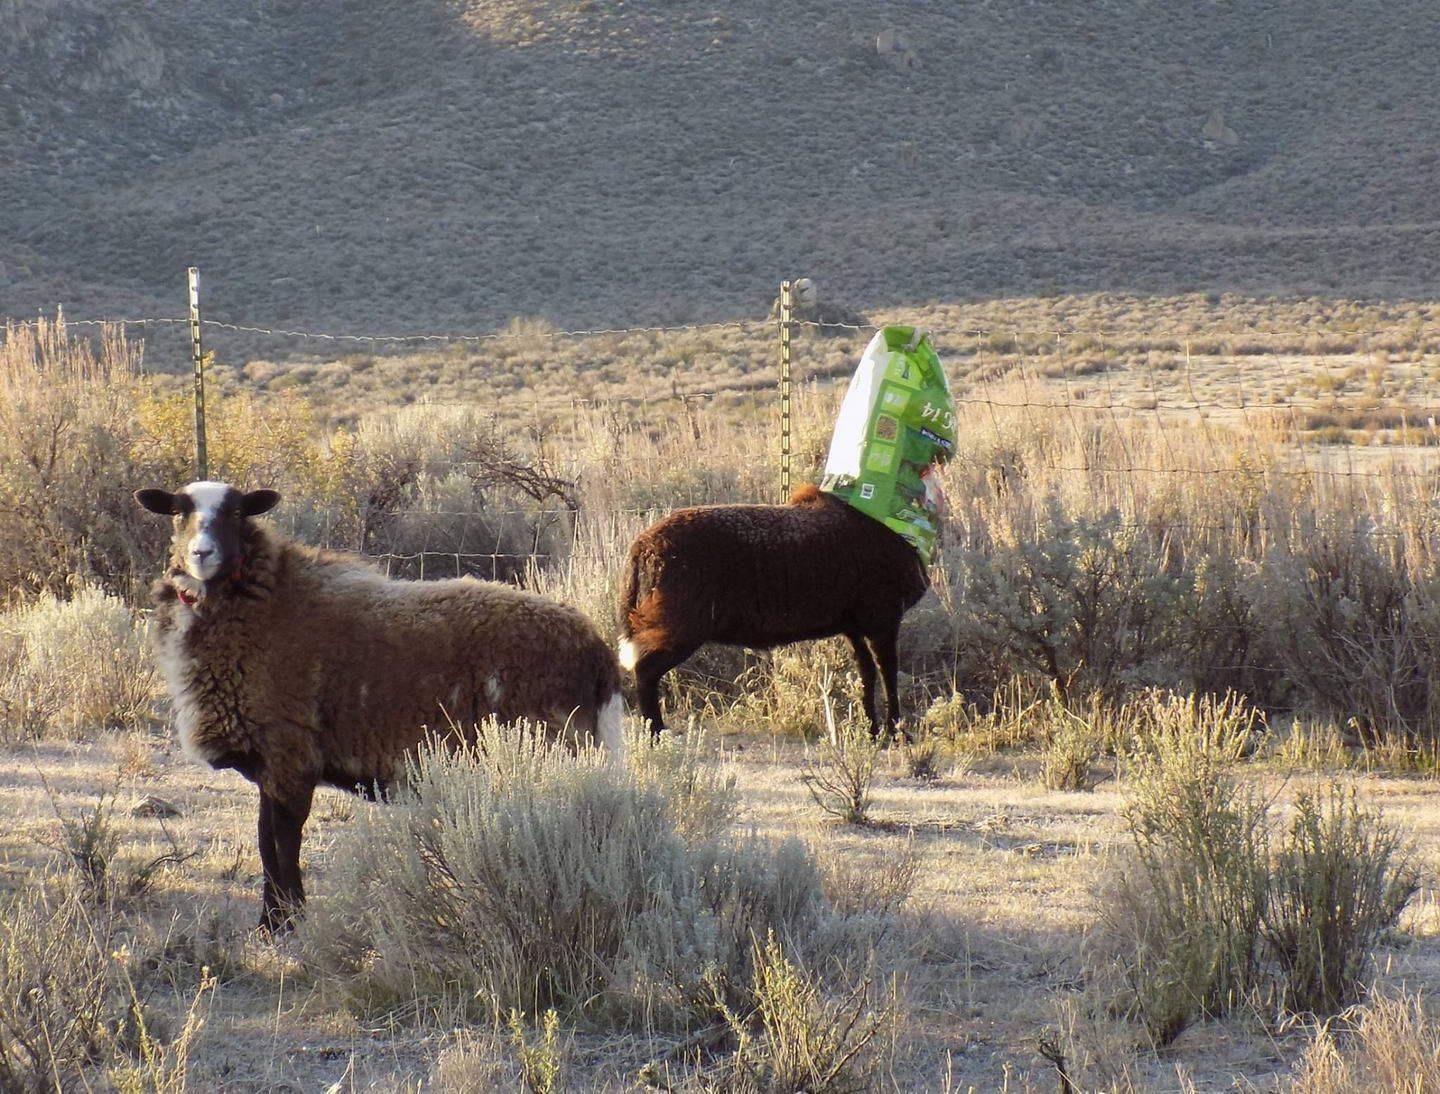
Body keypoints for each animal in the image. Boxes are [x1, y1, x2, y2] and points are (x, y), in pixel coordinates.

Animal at [135, 480, 624, 932]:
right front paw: (274, 920)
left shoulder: (291, 752)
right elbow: (264, 839)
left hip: (556, 745)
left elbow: (282, 840)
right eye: (178, 511)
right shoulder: (270, 762)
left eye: (237, 512)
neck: (266, 602)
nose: (201, 553)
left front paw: (286, 923)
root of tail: (596, 648)